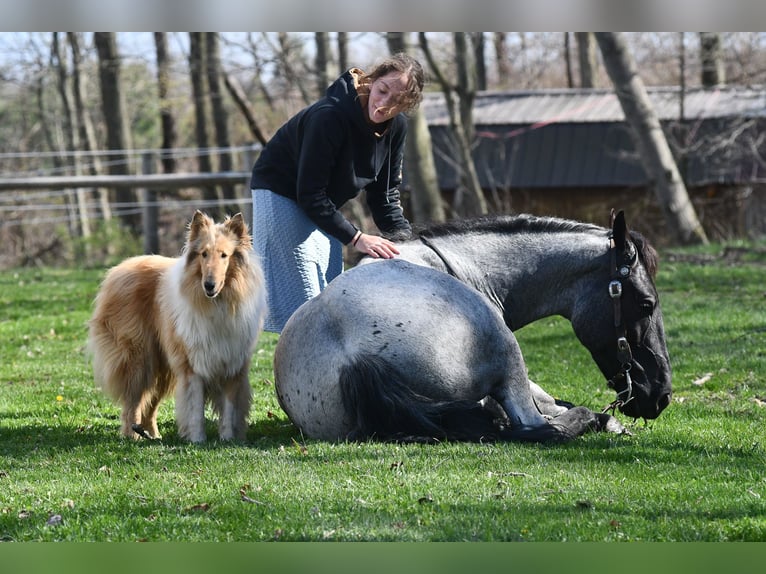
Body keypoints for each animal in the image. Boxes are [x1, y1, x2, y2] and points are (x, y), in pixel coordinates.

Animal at [273, 211, 672, 442]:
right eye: (646, 304)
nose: (662, 395)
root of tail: (353, 357)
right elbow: (553, 409)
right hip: (508, 355)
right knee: (539, 425)